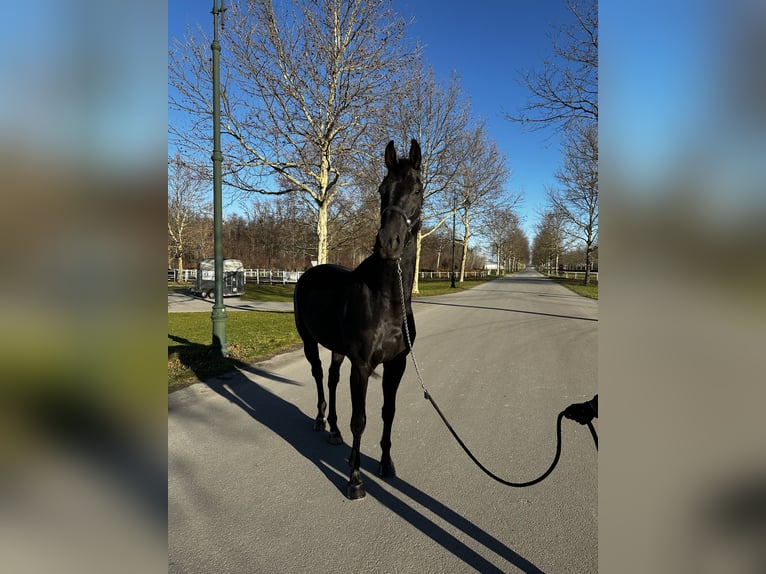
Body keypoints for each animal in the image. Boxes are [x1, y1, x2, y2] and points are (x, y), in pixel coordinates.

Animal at [296, 140, 426, 500]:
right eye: (383, 189)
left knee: (331, 378)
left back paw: (334, 431)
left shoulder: (396, 364)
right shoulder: (363, 366)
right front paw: (354, 479)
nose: (389, 243)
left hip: (339, 351)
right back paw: (320, 420)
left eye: (418, 189)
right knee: (318, 377)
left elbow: (387, 412)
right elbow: (361, 419)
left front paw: (386, 464)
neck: (387, 300)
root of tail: (309, 272)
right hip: (309, 342)